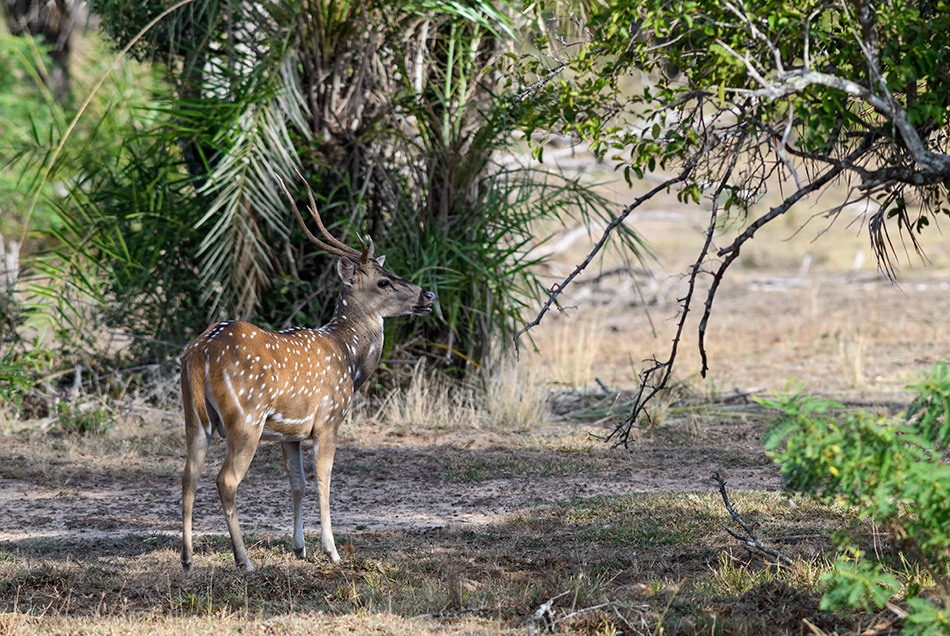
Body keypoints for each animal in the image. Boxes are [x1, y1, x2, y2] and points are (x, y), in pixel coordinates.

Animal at [180, 174, 436, 572]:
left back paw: (188, 558)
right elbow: (324, 482)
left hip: (194, 417)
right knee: (225, 480)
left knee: (187, 477)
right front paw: (331, 550)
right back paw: (244, 561)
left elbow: (297, 484)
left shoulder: (291, 432)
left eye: (393, 272)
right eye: (383, 282)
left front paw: (299, 547)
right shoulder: (329, 420)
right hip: (245, 419)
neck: (348, 357)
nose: (428, 295)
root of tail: (198, 355)